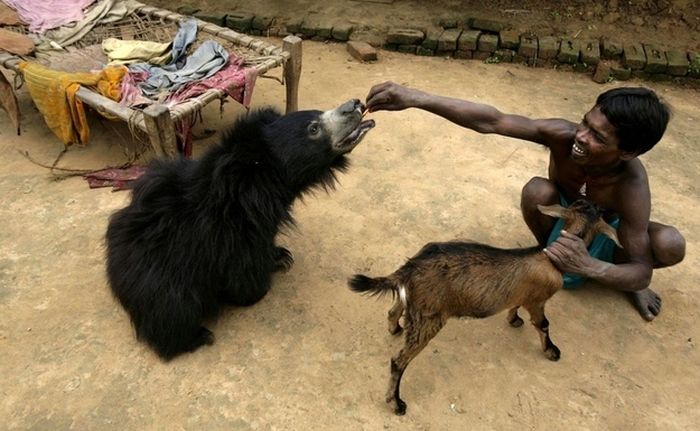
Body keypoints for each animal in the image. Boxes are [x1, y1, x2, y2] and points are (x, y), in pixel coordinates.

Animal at [104, 99, 374, 360]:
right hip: (161, 280)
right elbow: (243, 267)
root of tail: (115, 270)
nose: (356, 104)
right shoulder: (231, 232)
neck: (259, 186)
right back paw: (197, 337)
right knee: (172, 313)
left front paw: (280, 255)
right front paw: (258, 287)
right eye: (314, 129)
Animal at [348, 201, 616, 416]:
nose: (606, 207)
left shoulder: (522, 294)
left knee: (394, 310)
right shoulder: (537, 301)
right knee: (398, 361)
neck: (550, 258)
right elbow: (543, 324)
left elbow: (515, 304)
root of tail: (411, 267)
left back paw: (395, 329)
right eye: (599, 211)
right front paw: (551, 351)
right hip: (429, 317)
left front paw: (514, 319)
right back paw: (396, 403)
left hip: (414, 302)